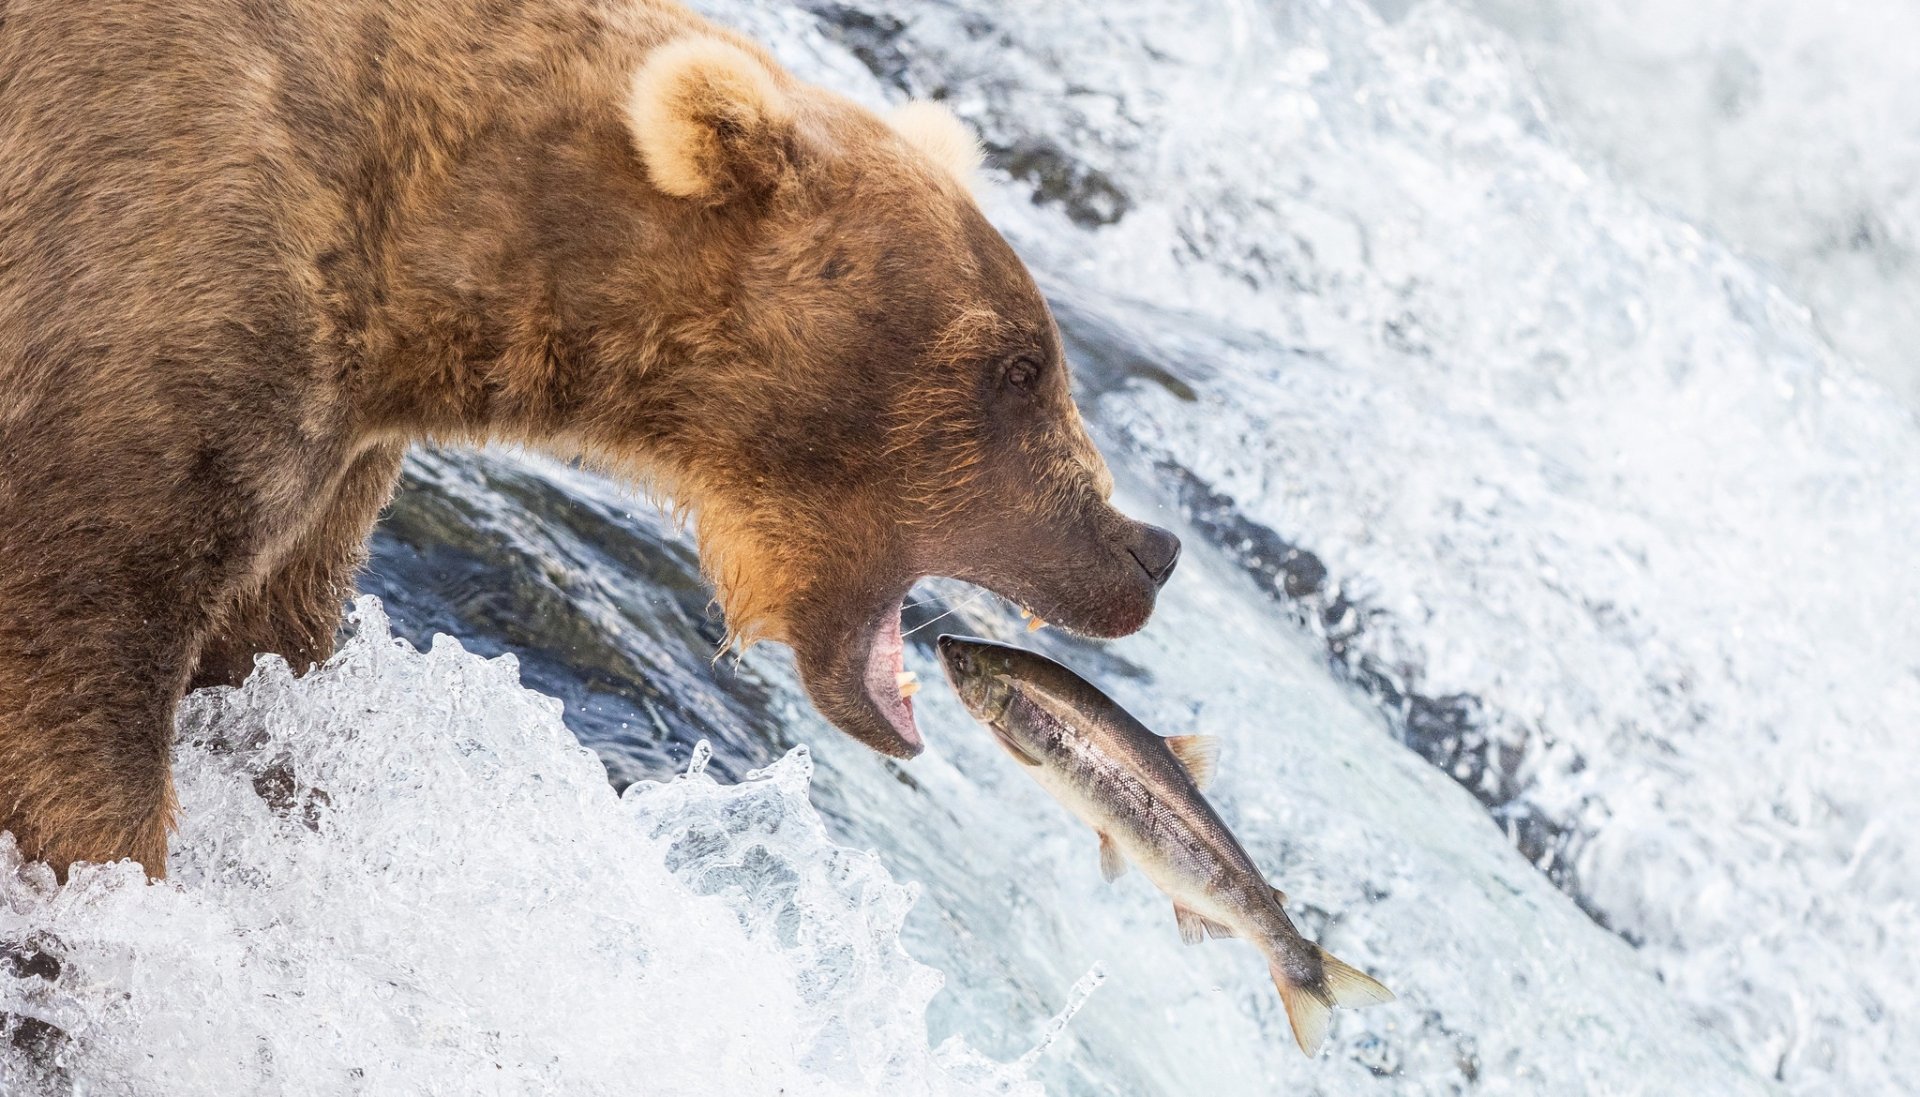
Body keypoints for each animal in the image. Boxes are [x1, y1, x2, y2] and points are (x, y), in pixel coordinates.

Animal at [0, 0, 1181, 881]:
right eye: (1019, 366)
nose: (1147, 548)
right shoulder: (162, 275)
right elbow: (77, 672)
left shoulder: (329, 457)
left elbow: (262, 650)